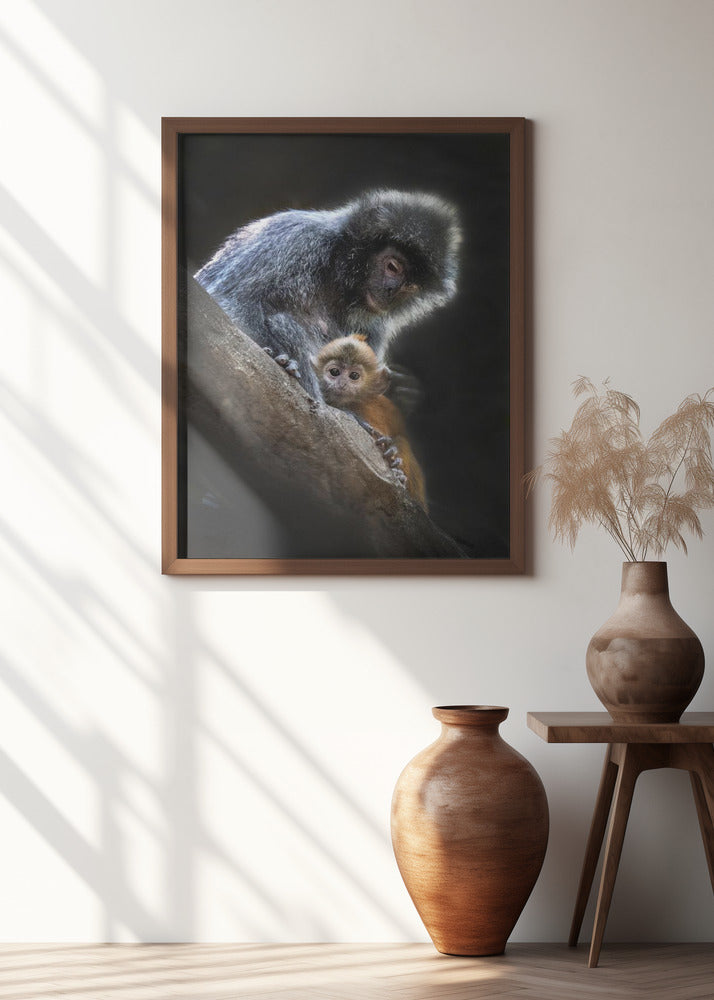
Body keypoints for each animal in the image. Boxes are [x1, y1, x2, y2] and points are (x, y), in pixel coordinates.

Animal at [195, 189, 461, 399]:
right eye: (393, 266)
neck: (336, 275)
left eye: (410, 286)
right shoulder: (297, 239)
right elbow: (230, 300)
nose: (391, 291)